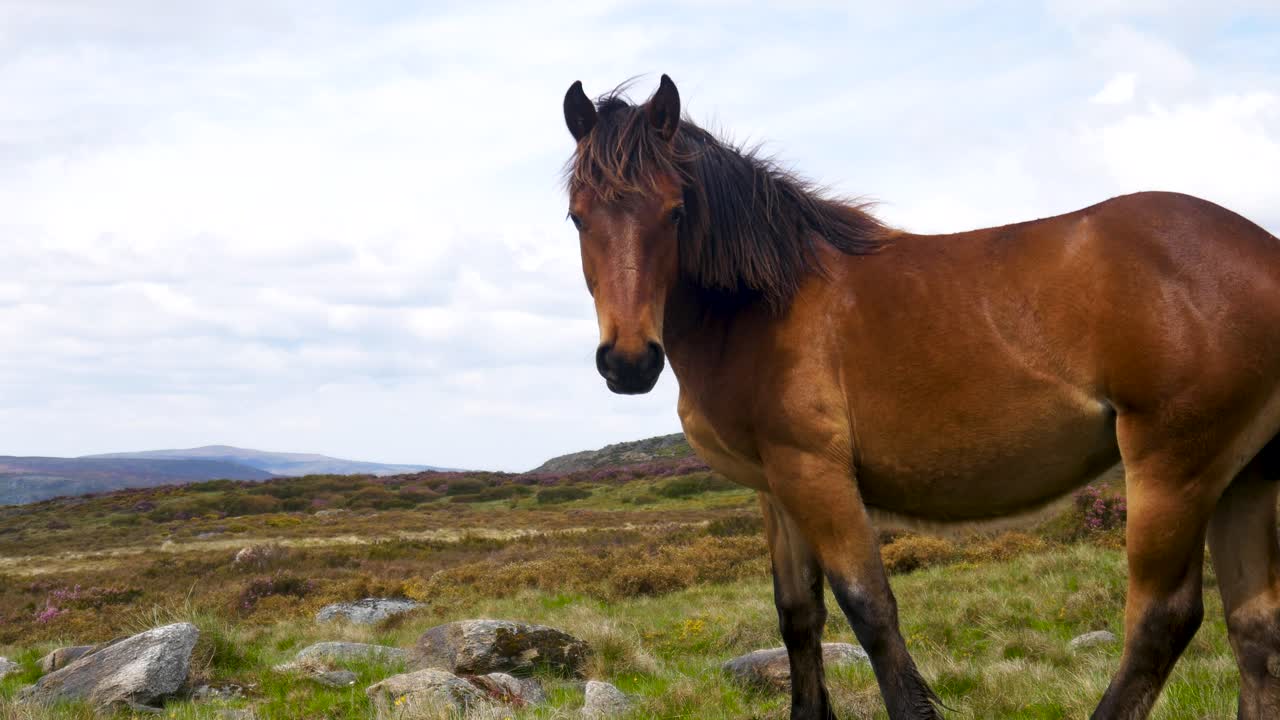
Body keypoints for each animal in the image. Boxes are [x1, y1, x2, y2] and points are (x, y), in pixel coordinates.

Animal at [560, 74, 1280, 719]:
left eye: (676, 211)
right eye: (577, 216)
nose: (628, 361)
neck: (763, 305)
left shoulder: (817, 474)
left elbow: (870, 610)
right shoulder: (776, 485)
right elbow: (798, 617)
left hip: (1175, 468)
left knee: (1163, 621)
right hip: (1242, 477)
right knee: (1254, 631)